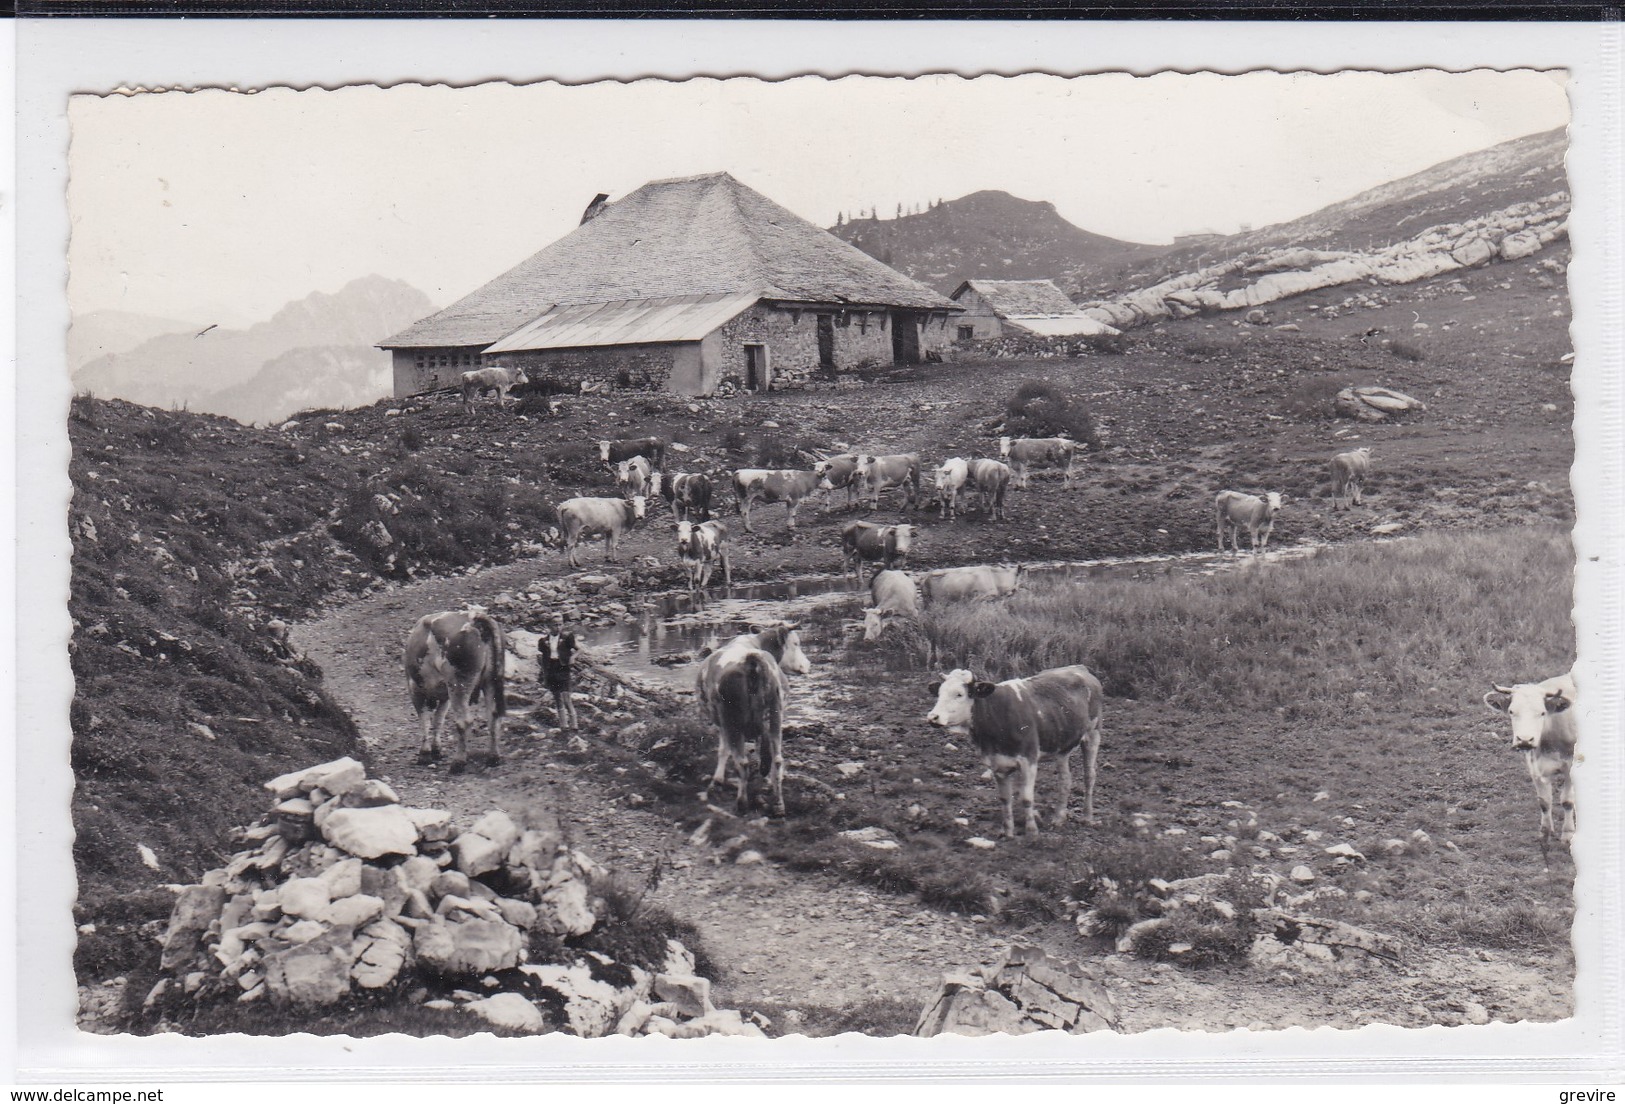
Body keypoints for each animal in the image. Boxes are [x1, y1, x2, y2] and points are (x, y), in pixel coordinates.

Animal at [692, 627, 812, 816]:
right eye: (796, 643)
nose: (808, 664)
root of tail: (751, 659)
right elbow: (762, 752)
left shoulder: (723, 723)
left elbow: (723, 750)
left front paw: (717, 780)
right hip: (775, 715)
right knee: (777, 759)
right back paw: (778, 805)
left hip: (731, 721)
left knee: (742, 762)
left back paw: (741, 804)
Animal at [929, 666, 1105, 838]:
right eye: (939, 693)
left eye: (959, 694)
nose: (932, 717)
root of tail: (1081, 669)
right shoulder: (997, 763)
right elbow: (1005, 799)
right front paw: (1008, 833)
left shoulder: (1029, 759)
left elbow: (1026, 798)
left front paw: (1032, 832)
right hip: (1062, 745)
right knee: (1065, 779)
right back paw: (1058, 818)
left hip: (1093, 733)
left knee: (1089, 776)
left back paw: (1087, 817)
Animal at [1488, 669, 1573, 864]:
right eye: (1511, 711)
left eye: (1542, 712)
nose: (1525, 740)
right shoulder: (1535, 767)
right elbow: (1544, 802)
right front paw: (1545, 835)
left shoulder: (1572, 765)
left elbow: (1567, 801)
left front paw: (1568, 835)